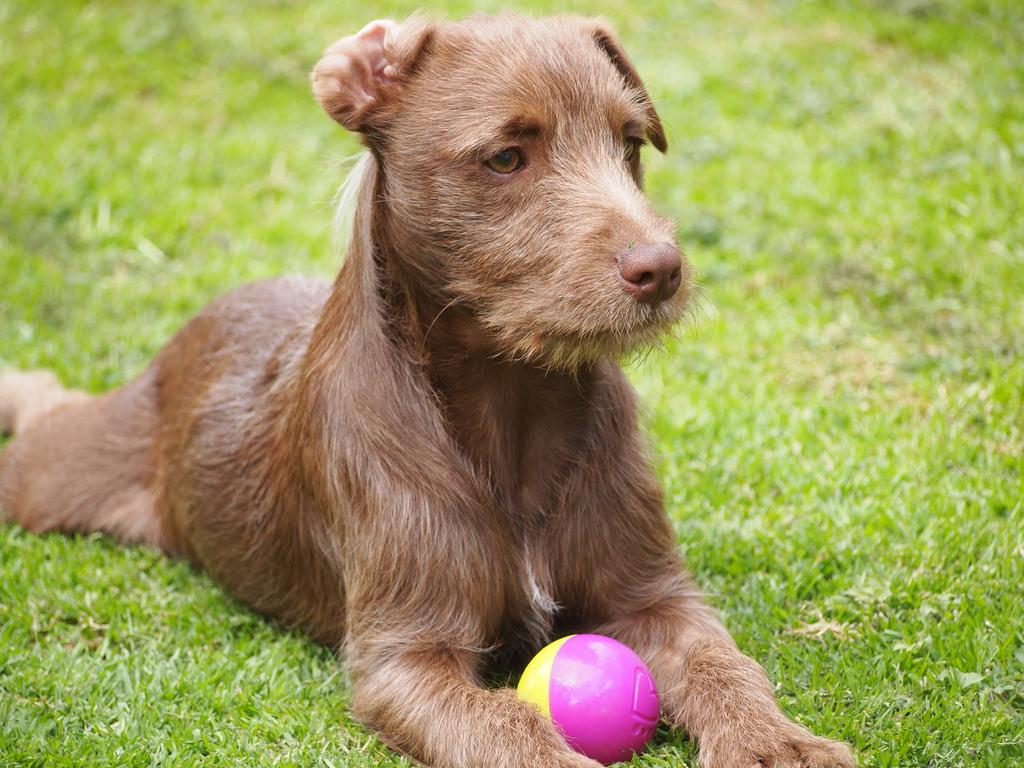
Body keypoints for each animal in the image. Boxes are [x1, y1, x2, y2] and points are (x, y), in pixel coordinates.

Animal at [0, 13, 856, 768]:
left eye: (630, 144)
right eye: (506, 158)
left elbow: (723, 665)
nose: (662, 270)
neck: (515, 404)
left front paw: (779, 742)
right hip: (54, 474)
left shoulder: (656, 598)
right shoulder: (407, 658)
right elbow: (508, 729)